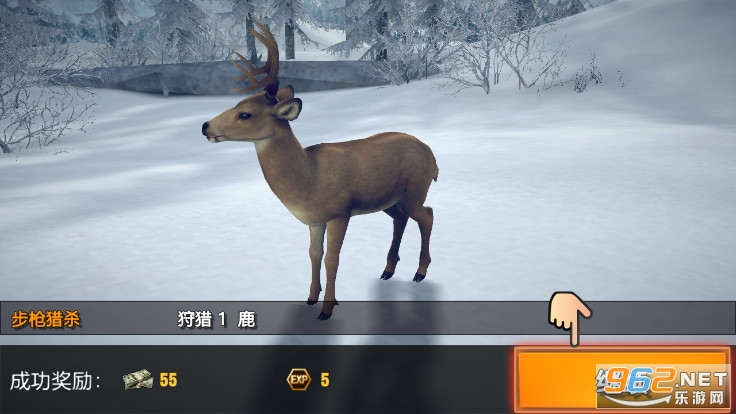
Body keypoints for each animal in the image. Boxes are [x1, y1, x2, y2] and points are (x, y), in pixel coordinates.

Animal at [201, 21, 438, 320]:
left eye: (245, 114)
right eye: (236, 105)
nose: (205, 126)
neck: (308, 179)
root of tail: (432, 155)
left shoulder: (339, 212)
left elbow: (331, 258)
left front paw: (327, 308)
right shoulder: (315, 220)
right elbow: (314, 254)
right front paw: (311, 298)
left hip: (415, 190)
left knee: (427, 215)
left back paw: (420, 272)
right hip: (389, 199)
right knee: (402, 219)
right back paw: (388, 270)